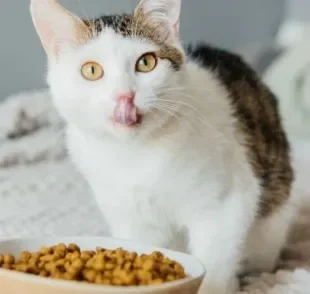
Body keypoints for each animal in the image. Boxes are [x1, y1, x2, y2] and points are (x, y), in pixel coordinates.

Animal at [30, 1, 296, 292]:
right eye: (91, 70)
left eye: (146, 62)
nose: (125, 96)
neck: (137, 153)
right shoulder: (131, 218)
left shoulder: (226, 204)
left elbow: (216, 259)